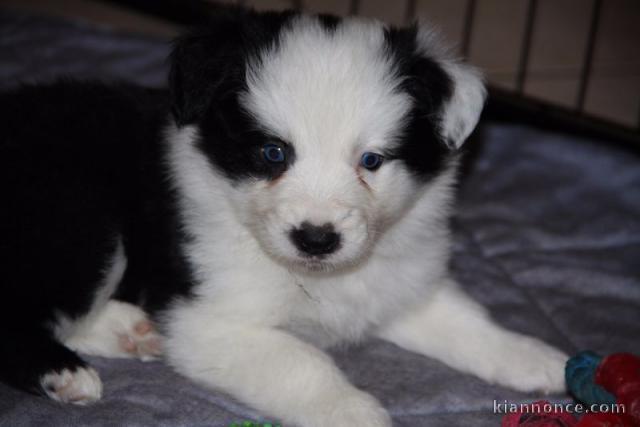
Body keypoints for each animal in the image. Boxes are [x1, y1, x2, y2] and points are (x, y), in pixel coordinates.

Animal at [0, 7, 564, 427]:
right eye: (273, 153)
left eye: (372, 160)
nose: (316, 239)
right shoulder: (209, 319)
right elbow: (303, 362)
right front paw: (355, 414)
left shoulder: (402, 283)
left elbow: (468, 323)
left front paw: (543, 360)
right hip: (78, 221)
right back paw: (66, 371)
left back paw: (130, 331)